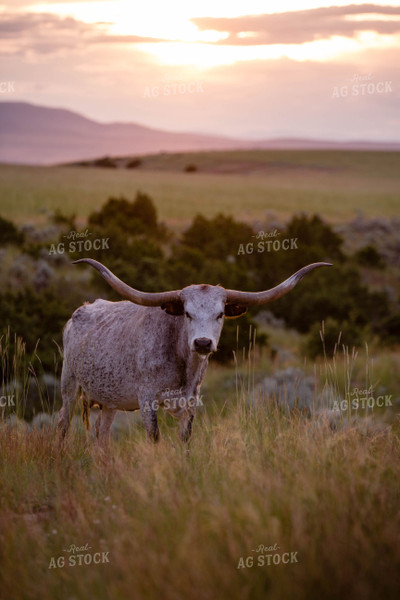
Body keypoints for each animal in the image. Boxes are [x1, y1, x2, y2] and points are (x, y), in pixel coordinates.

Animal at [57, 258, 332, 446]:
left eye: (220, 314)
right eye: (187, 313)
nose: (202, 343)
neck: (182, 364)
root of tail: (79, 311)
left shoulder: (191, 401)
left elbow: (185, 440)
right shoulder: (147, 399)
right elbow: (154, 438)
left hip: (109, 398)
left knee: (101, 434)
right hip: (69, 384)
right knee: (63, 423)